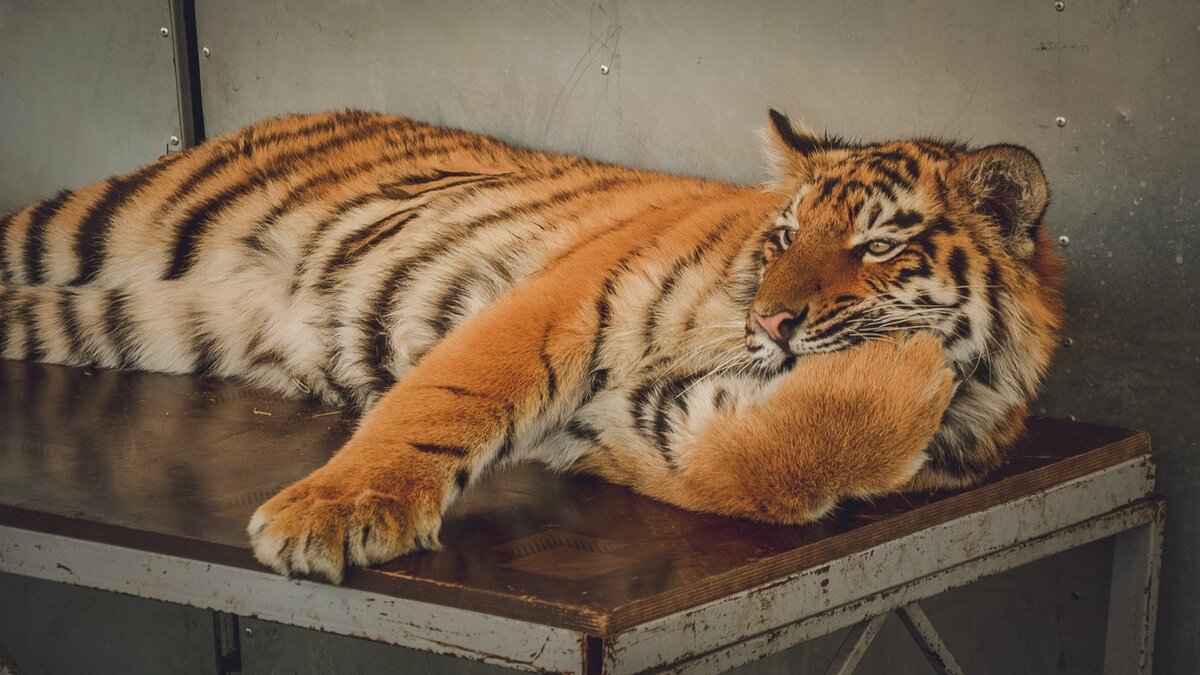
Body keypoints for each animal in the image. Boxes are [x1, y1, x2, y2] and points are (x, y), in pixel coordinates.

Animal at [2, 109, 1070, 578]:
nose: (772, 320)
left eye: (878, 246)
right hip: (85, 224)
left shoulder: (639, 422)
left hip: (108, 319)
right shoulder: (564, 296)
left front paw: (900, 371)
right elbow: (447, 398)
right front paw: (330, 516)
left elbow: (768, 464)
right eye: (784, 237)